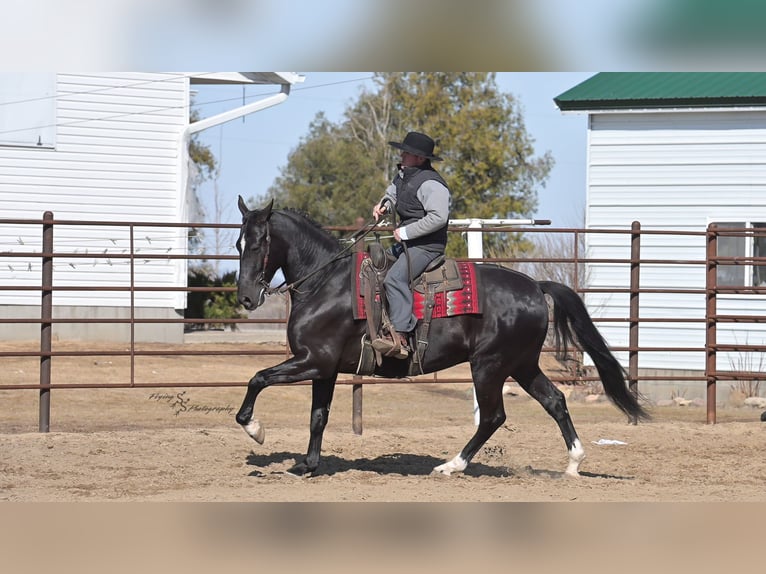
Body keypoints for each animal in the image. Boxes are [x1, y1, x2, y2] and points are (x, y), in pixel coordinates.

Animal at [234, 197, 649, 477]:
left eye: (258, 244)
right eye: (238, 244)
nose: (246, 297)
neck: (325, 282)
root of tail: (535, 286)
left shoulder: (313, 361)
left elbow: (257, 379)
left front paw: (256, 430)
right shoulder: (325, 368)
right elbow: (318, 416)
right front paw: (308, 464)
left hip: (490, 366)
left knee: (493, 416)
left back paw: (452, 465)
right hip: (522, 364)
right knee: (555, 401)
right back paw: (574, 463)